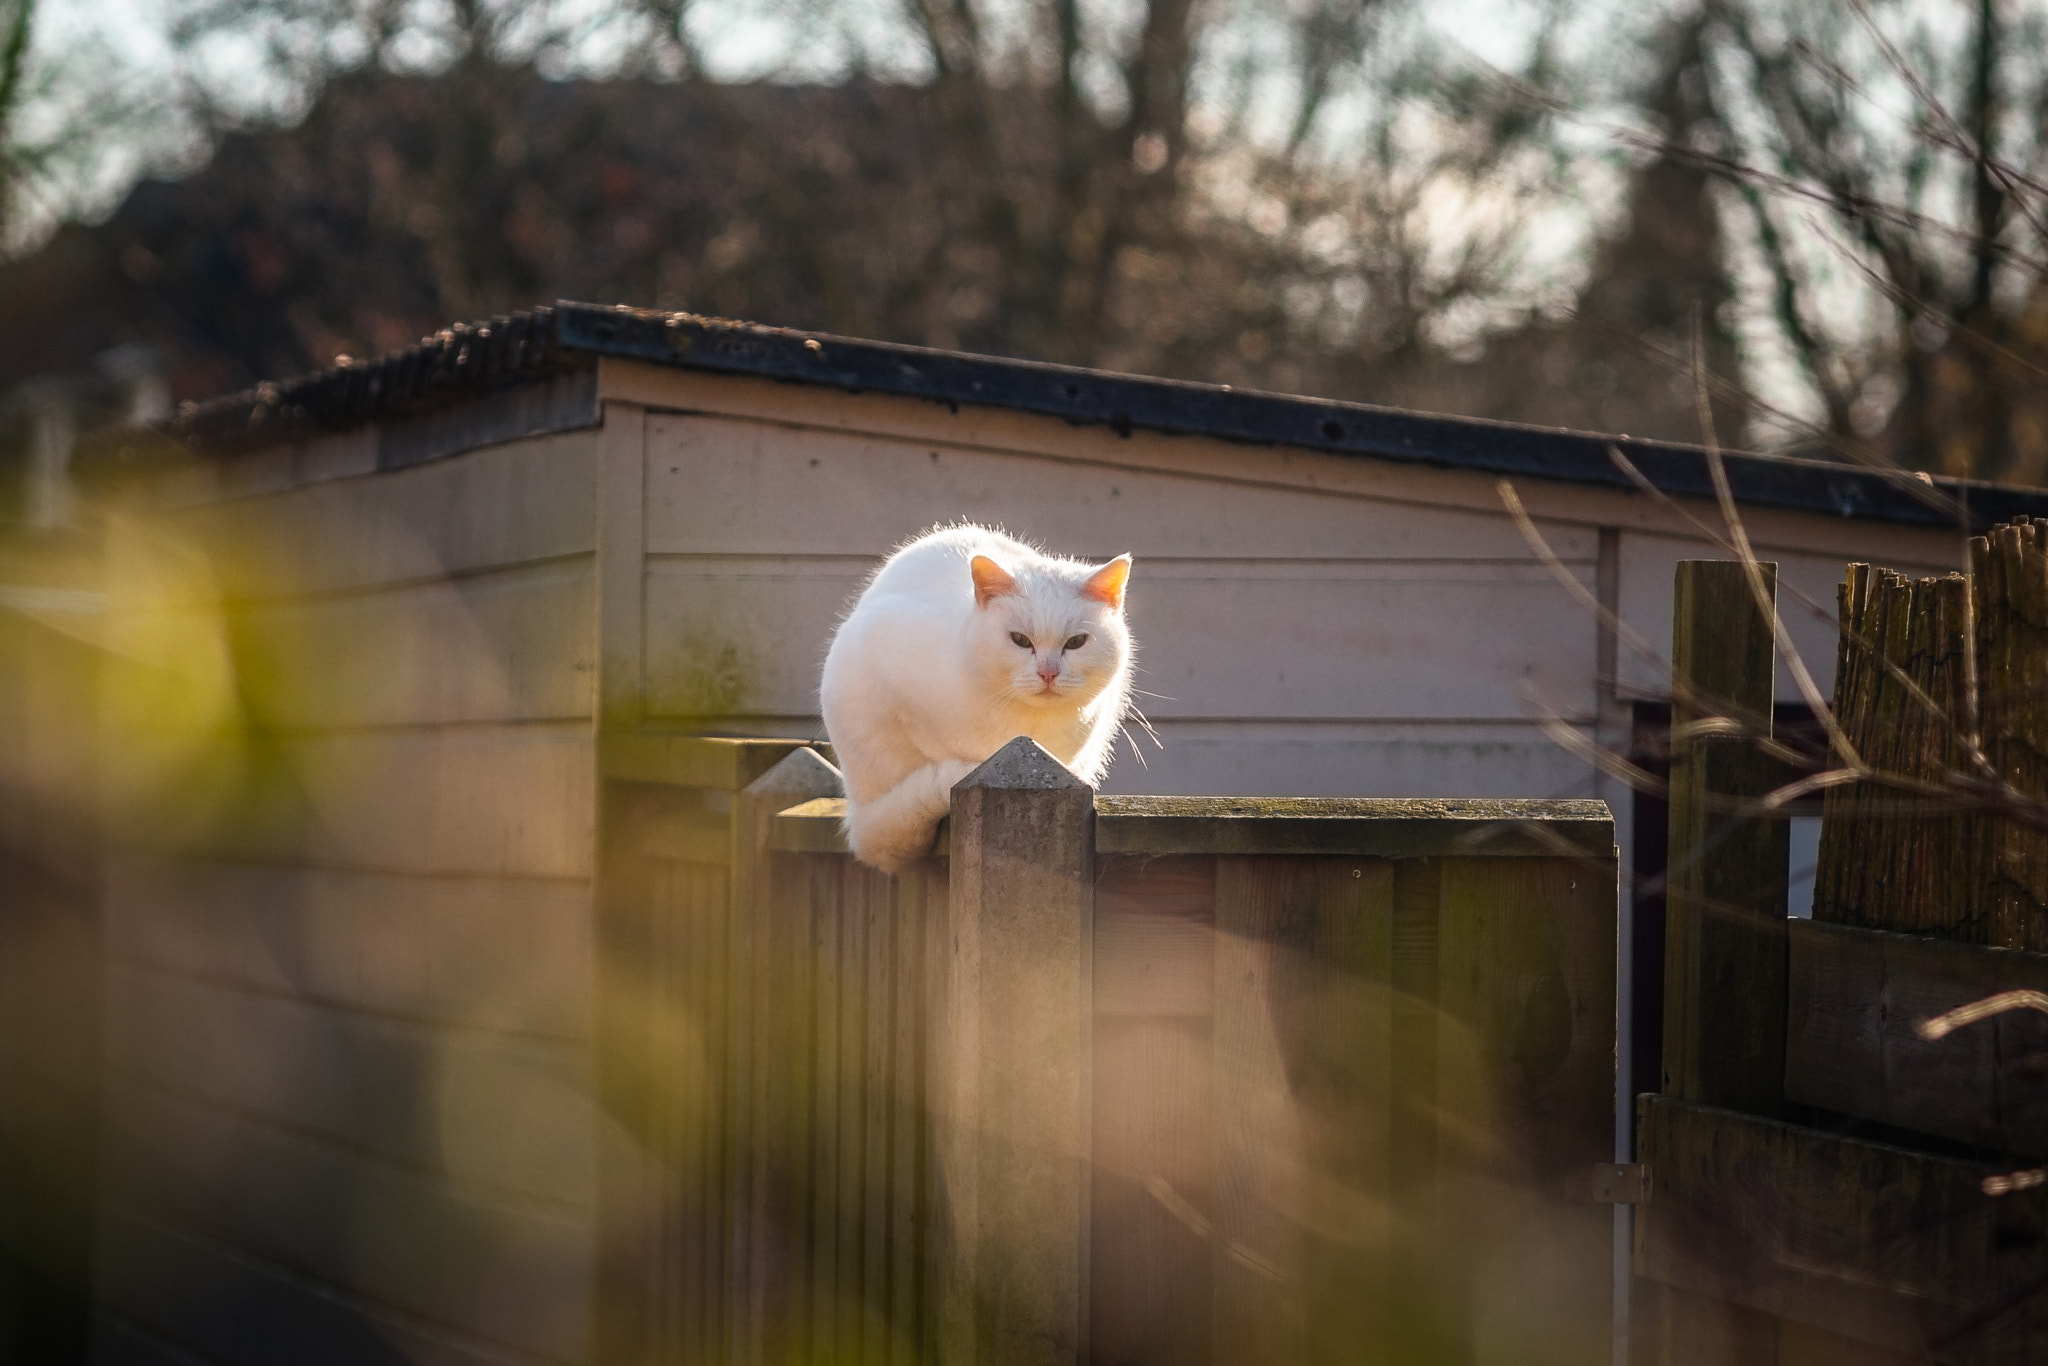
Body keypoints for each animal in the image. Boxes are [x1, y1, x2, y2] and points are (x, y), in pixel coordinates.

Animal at [815, 524, 1138, 876]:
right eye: (1020, 640)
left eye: (1077, 642)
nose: (1048, 673)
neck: (1025, 728)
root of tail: (859, 811)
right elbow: (931, 746)